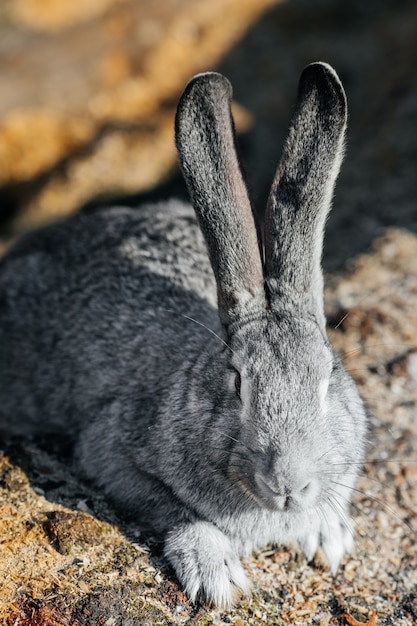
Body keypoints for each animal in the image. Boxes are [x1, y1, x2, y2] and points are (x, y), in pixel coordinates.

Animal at [0, 62, 364, 604]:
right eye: (237, 383)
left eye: (328, 377)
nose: (289, 486)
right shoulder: (112, 451)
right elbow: (171, 509)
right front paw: (218, 576)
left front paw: (329, 536)